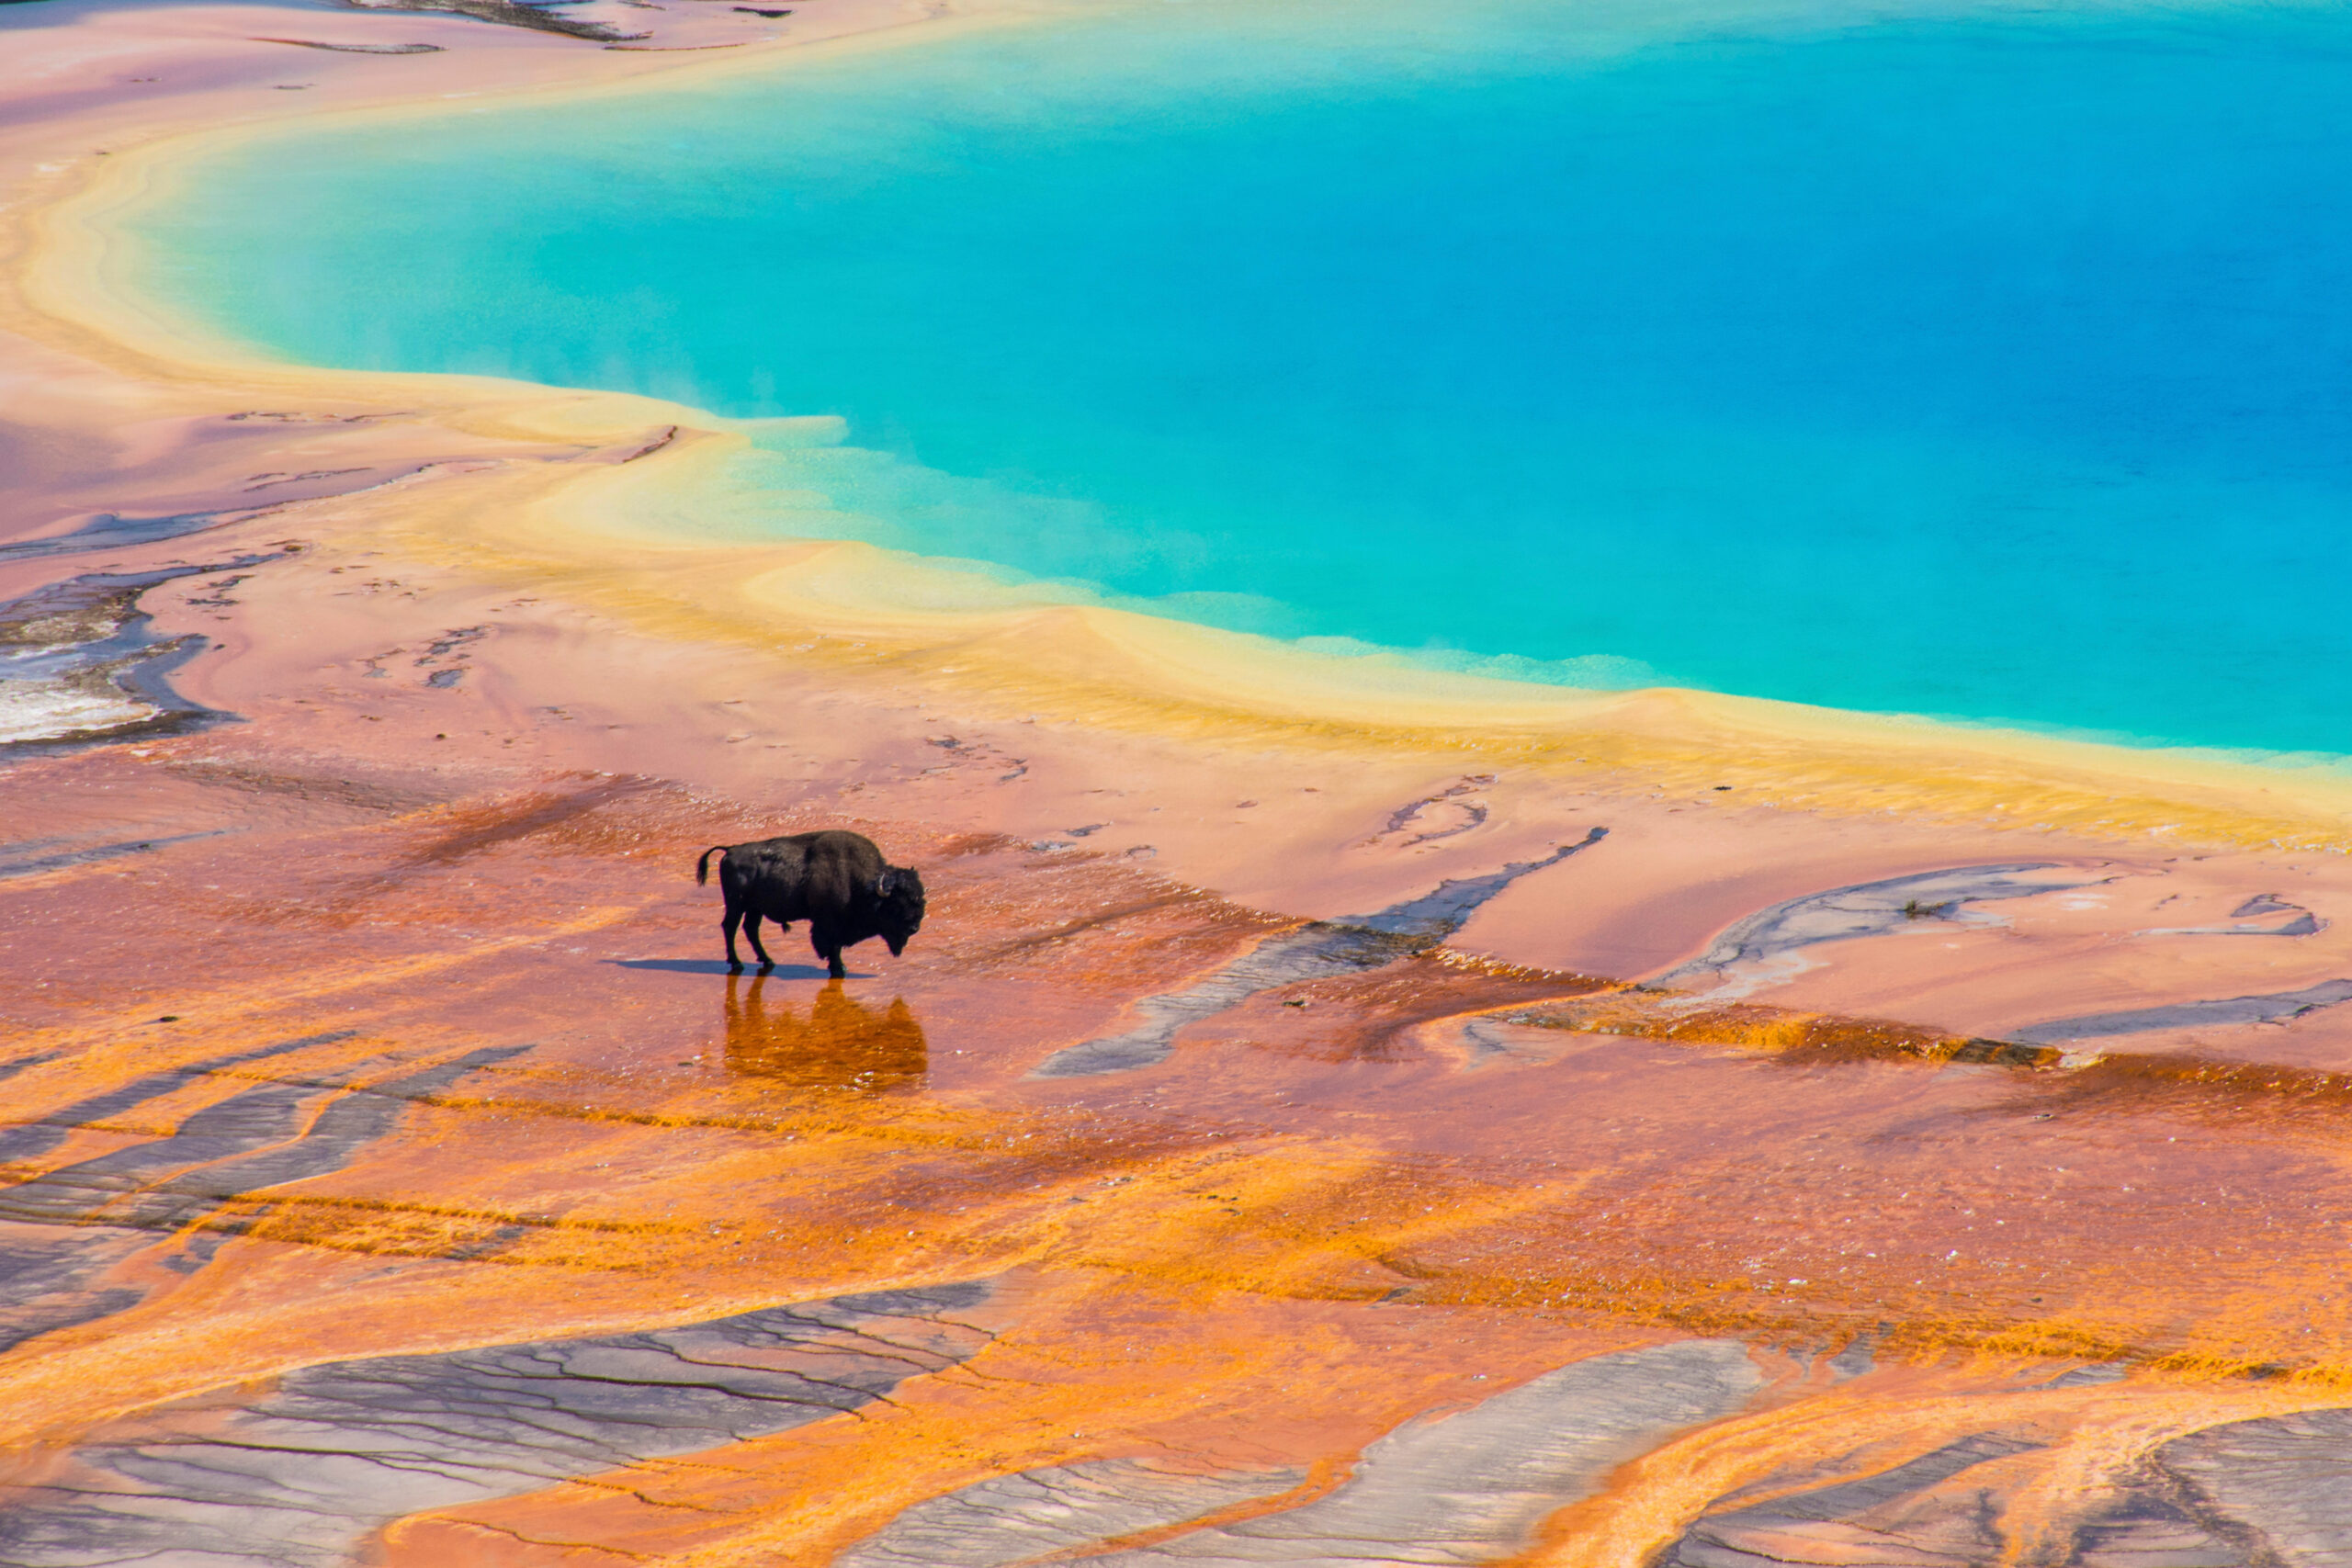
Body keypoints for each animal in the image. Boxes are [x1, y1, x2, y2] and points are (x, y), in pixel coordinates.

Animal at [691, 827, 922, 973]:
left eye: (920, 900)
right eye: (896, 904)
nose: (914, 927)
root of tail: (730, 850)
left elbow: (835, 946)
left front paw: (839, 966)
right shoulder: (828, 923)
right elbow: (832, 945)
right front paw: (838, 967)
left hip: (754, 908)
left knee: (750, 929)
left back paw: (768, 960)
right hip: (736, 904)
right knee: (730, 927)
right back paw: (737, 963)